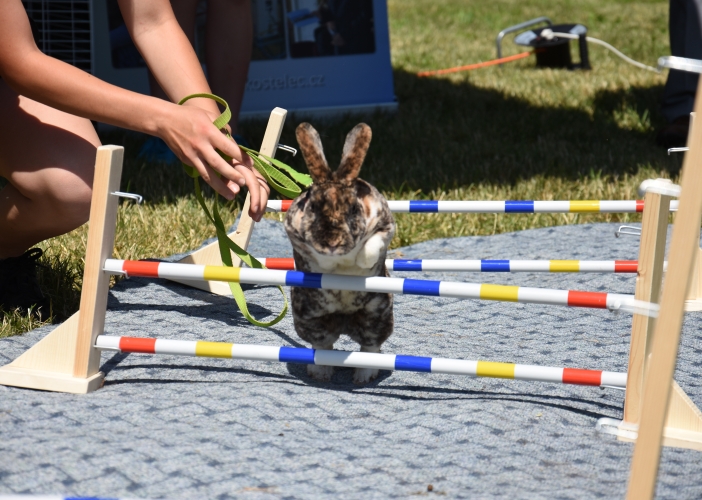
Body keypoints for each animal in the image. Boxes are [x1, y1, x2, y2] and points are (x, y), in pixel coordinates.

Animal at [284, 123, 396, 384]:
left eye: (354, 209)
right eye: (314, 207)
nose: (332, 243)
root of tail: (345, 323)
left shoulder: (386, 225)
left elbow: (372, 245)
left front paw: (361, 262)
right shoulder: (293, 233)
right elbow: (312, 256)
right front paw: (328, 264)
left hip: (377, 318)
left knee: (370, 348)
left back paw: (363, 376)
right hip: (310, 320)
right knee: (323, 346)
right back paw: (320, 373)